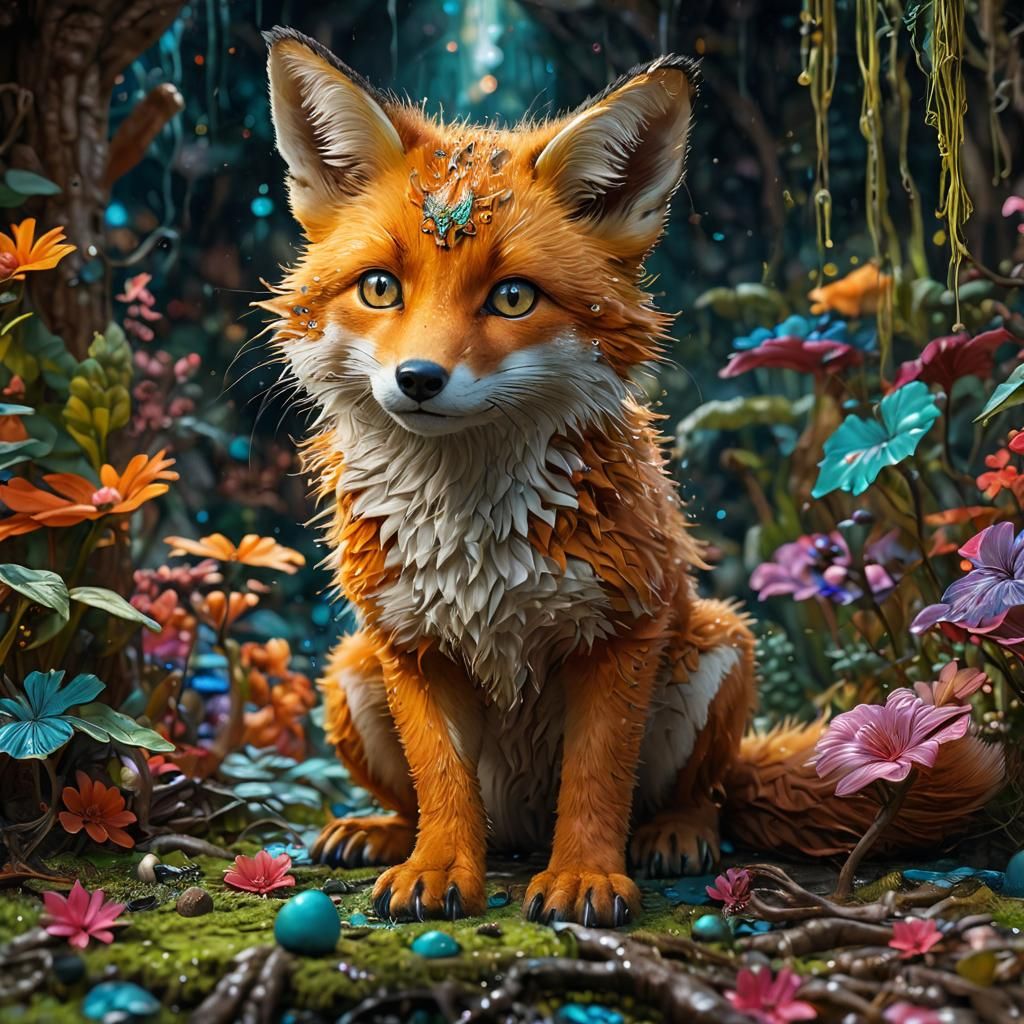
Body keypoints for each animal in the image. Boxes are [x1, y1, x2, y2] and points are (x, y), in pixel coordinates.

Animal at [260, 27, 1004, 926]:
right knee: (427, 802)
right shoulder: (411, 642)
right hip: (349, 671)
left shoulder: (621, 629)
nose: (418, 379)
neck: (475, 531)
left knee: (706, 795)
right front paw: (438, 868)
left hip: (719, 646)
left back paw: (674, 834)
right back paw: (383, 831)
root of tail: (518, 831)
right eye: (379, 287)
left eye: (513, 298)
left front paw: (584, 874)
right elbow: (441, 784)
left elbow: (596, 781)